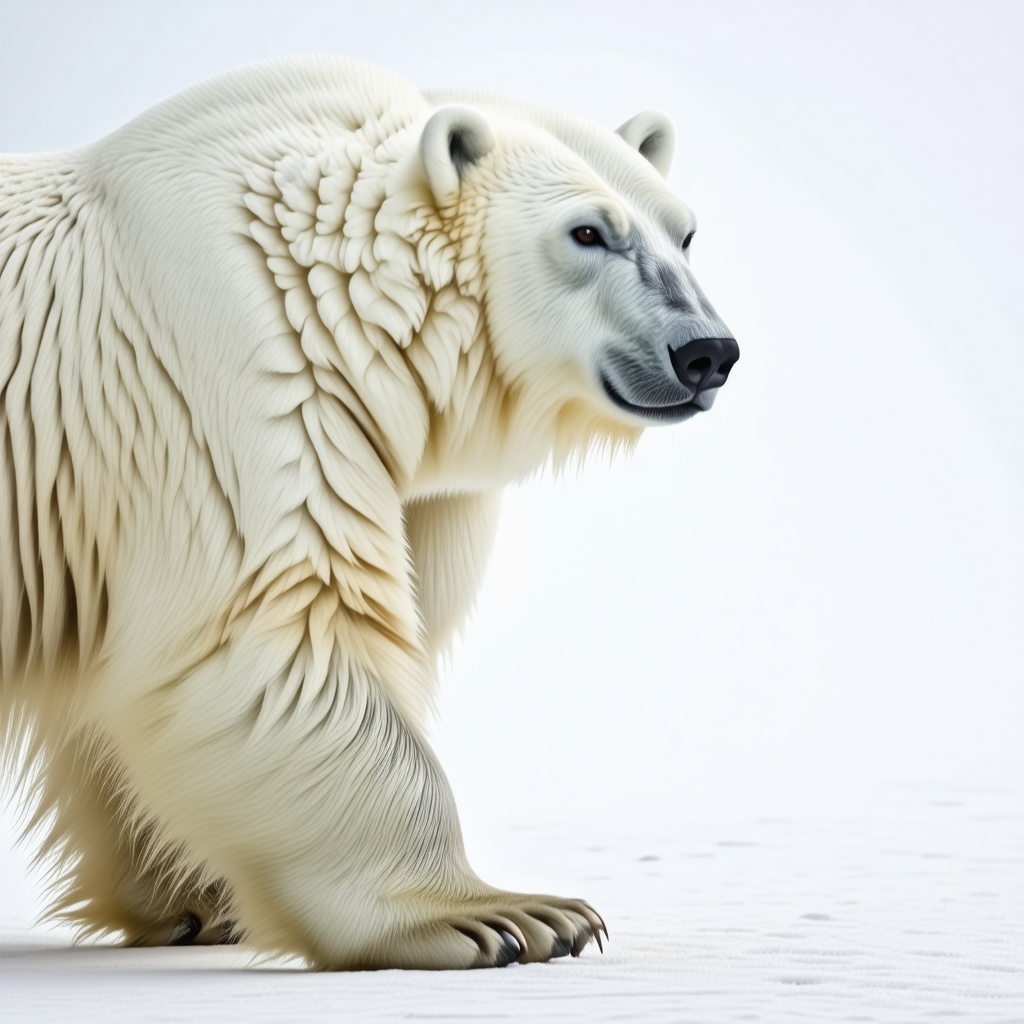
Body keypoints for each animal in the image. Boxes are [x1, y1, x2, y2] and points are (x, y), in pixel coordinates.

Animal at [0, 57, 738, 969]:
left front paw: (199, 898)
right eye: (588, 232)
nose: (706, 352)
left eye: (686, 231)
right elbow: (288, 637)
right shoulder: (225, 380)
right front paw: (507, 916)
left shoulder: (416, 483)